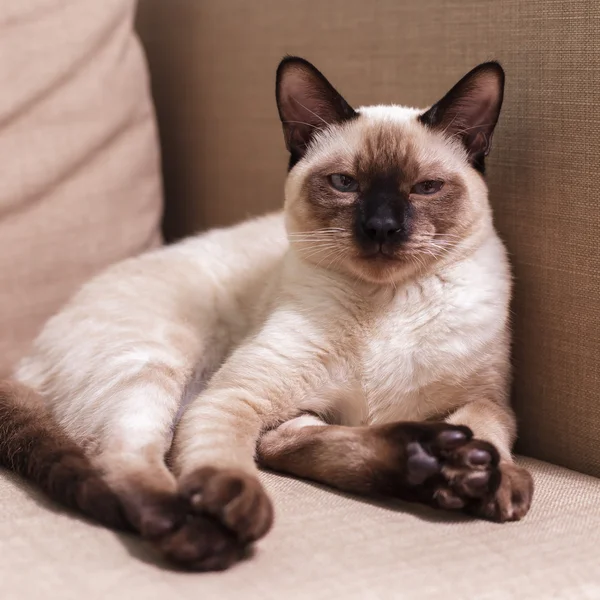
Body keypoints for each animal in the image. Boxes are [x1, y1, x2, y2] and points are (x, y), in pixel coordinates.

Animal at [0, 57, 536, 572]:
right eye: (344, 183)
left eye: (425, 188)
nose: (382, 227)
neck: (386, 303)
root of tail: (26, 357)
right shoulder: (234, 398)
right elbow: (225, 458)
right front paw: (233, 504)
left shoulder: (487, 400)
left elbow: (485, 432)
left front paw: (489, 479)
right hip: (157, 367)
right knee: (128, 462)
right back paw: (203, 535)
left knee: (284, 445)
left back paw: (428, 460)